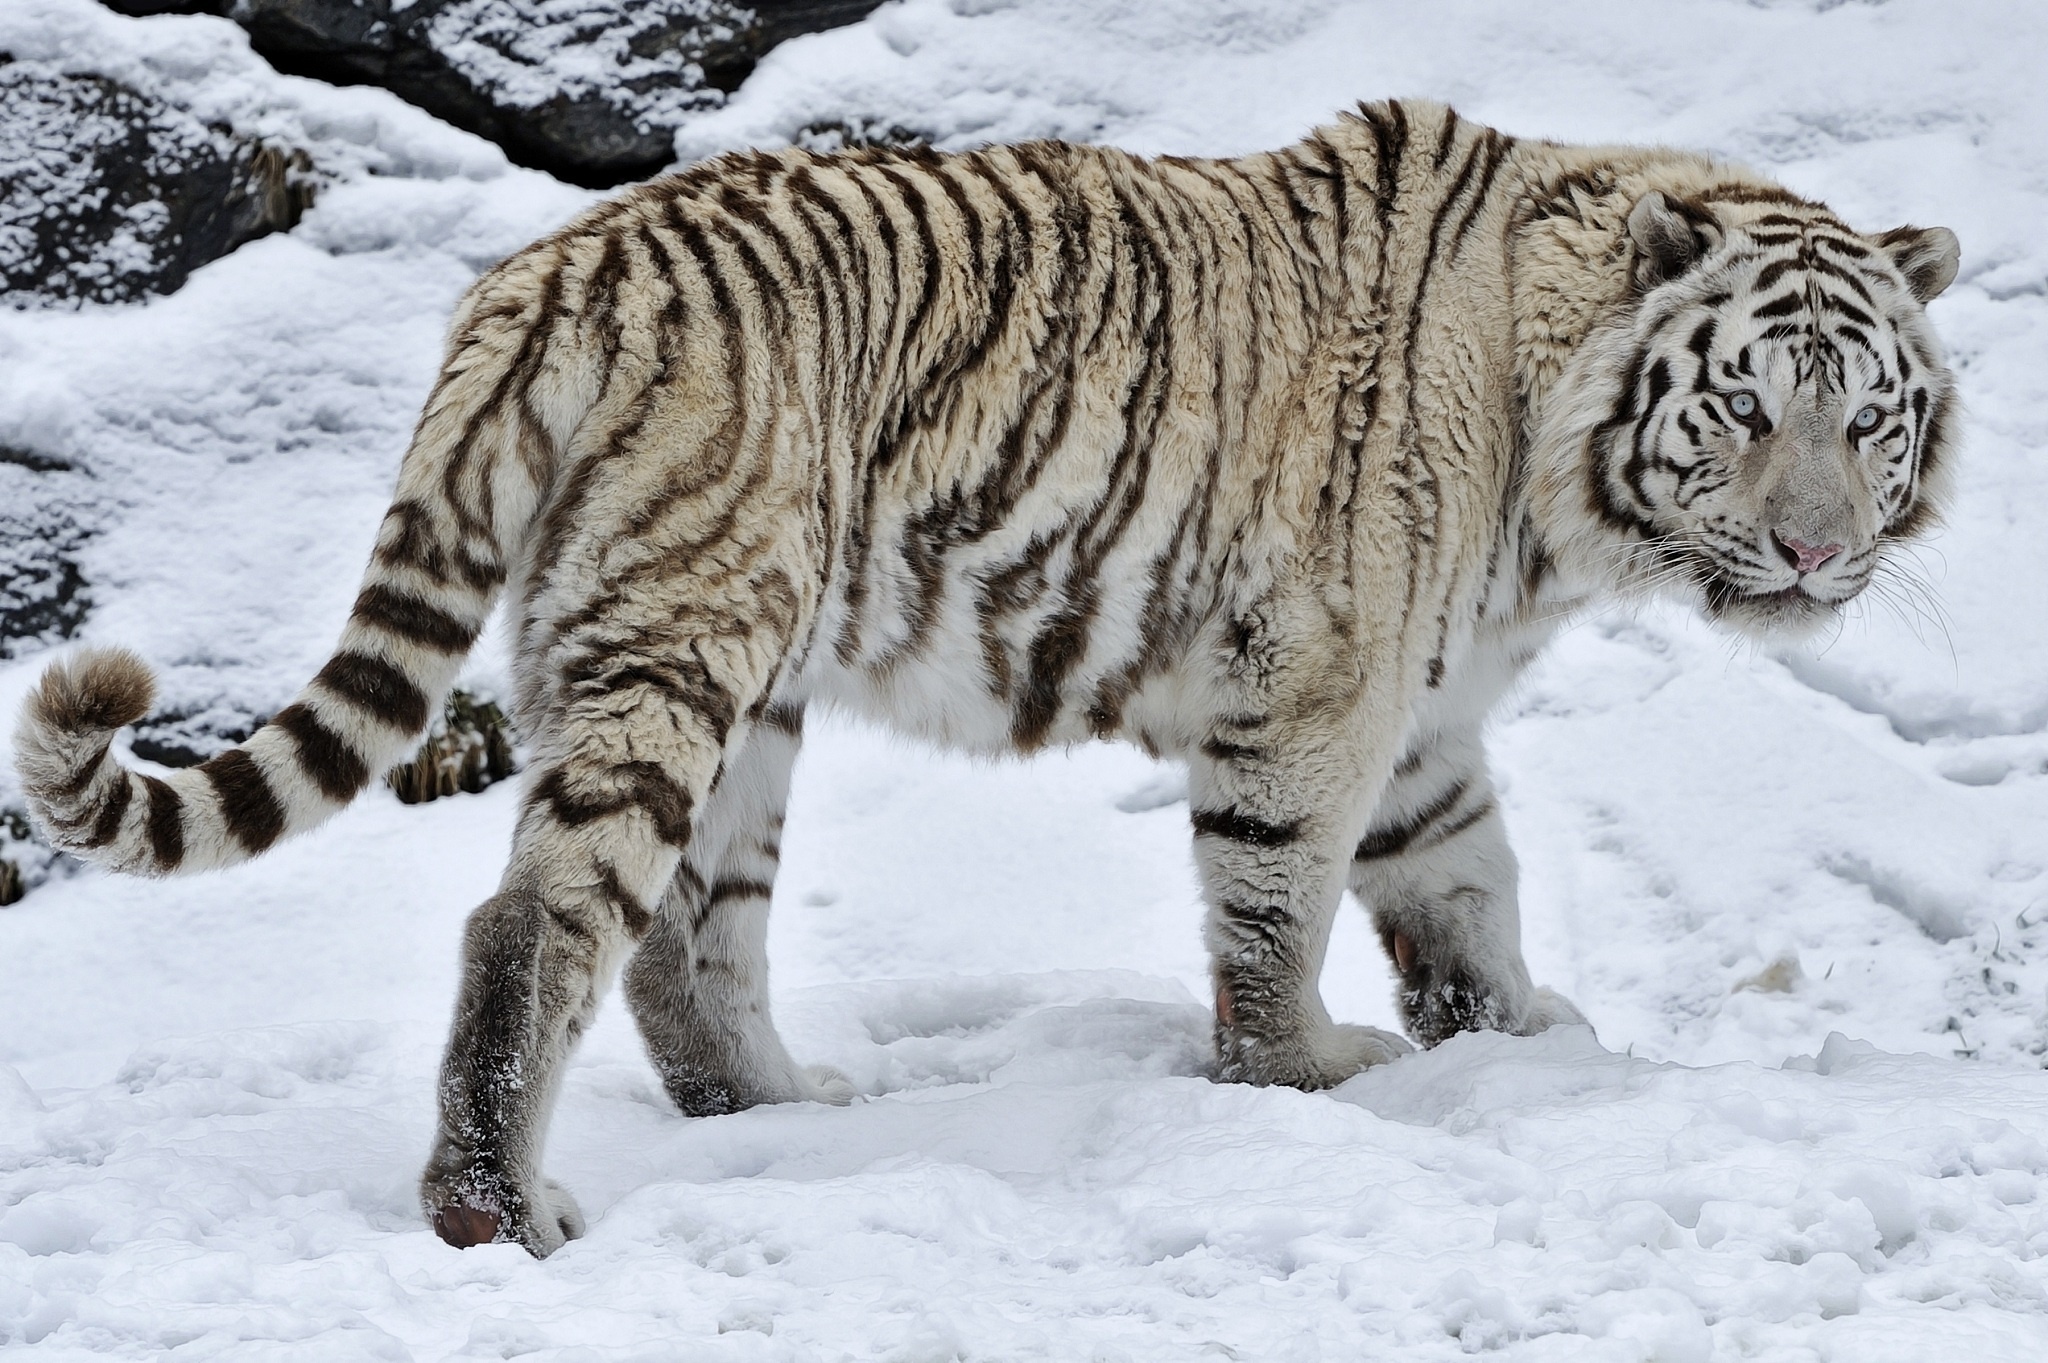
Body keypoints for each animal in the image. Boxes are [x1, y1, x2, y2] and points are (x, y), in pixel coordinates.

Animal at [13, 99, 1960, 1257]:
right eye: (1743, 406)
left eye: (1865, 416)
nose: (1812, 553)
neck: (1558, 477)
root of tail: (551, 270)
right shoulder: (1318, 684)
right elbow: (1282, 896)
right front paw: (1305, 1072)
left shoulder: (1423, 715)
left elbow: (1466, 886)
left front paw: (1521, 1042)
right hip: (682, 640)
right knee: (536, 920)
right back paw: (502, 1207)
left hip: (731, 686)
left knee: (684, 931)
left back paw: (774, 1105)